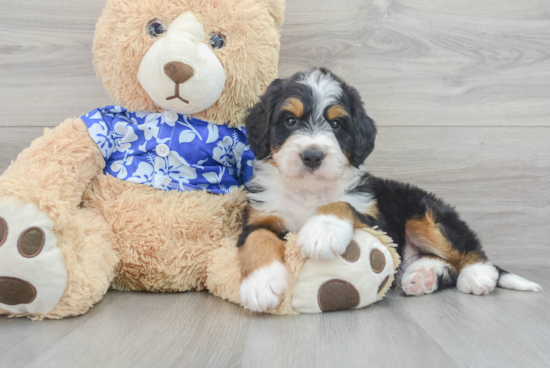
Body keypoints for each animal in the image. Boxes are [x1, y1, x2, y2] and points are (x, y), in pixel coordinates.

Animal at [238, 67, 544, 312]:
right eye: (290, 120)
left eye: (336, 124)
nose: (312, 156)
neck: (308, 190)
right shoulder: (259, 215)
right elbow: (257, 239)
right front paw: (261, 283)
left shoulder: (376, 219)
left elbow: (343, 204)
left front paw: (322, 230)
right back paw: (423, 276)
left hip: (424, 211)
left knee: (467, 249)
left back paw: (478, 275)